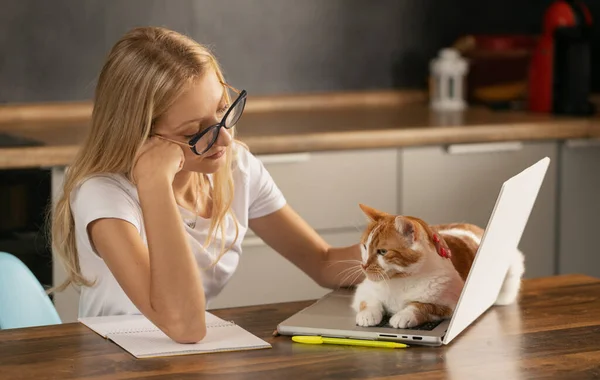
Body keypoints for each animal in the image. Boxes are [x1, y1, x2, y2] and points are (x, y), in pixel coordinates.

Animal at [352, 203, 524, 328]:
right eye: (365, 247)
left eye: (382, 251)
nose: (364, 265)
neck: (401, 279)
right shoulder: (363, 290)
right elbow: (369, 301)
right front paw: (368, 314)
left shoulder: (450, 304)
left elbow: (423, 306)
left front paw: (403, 315)